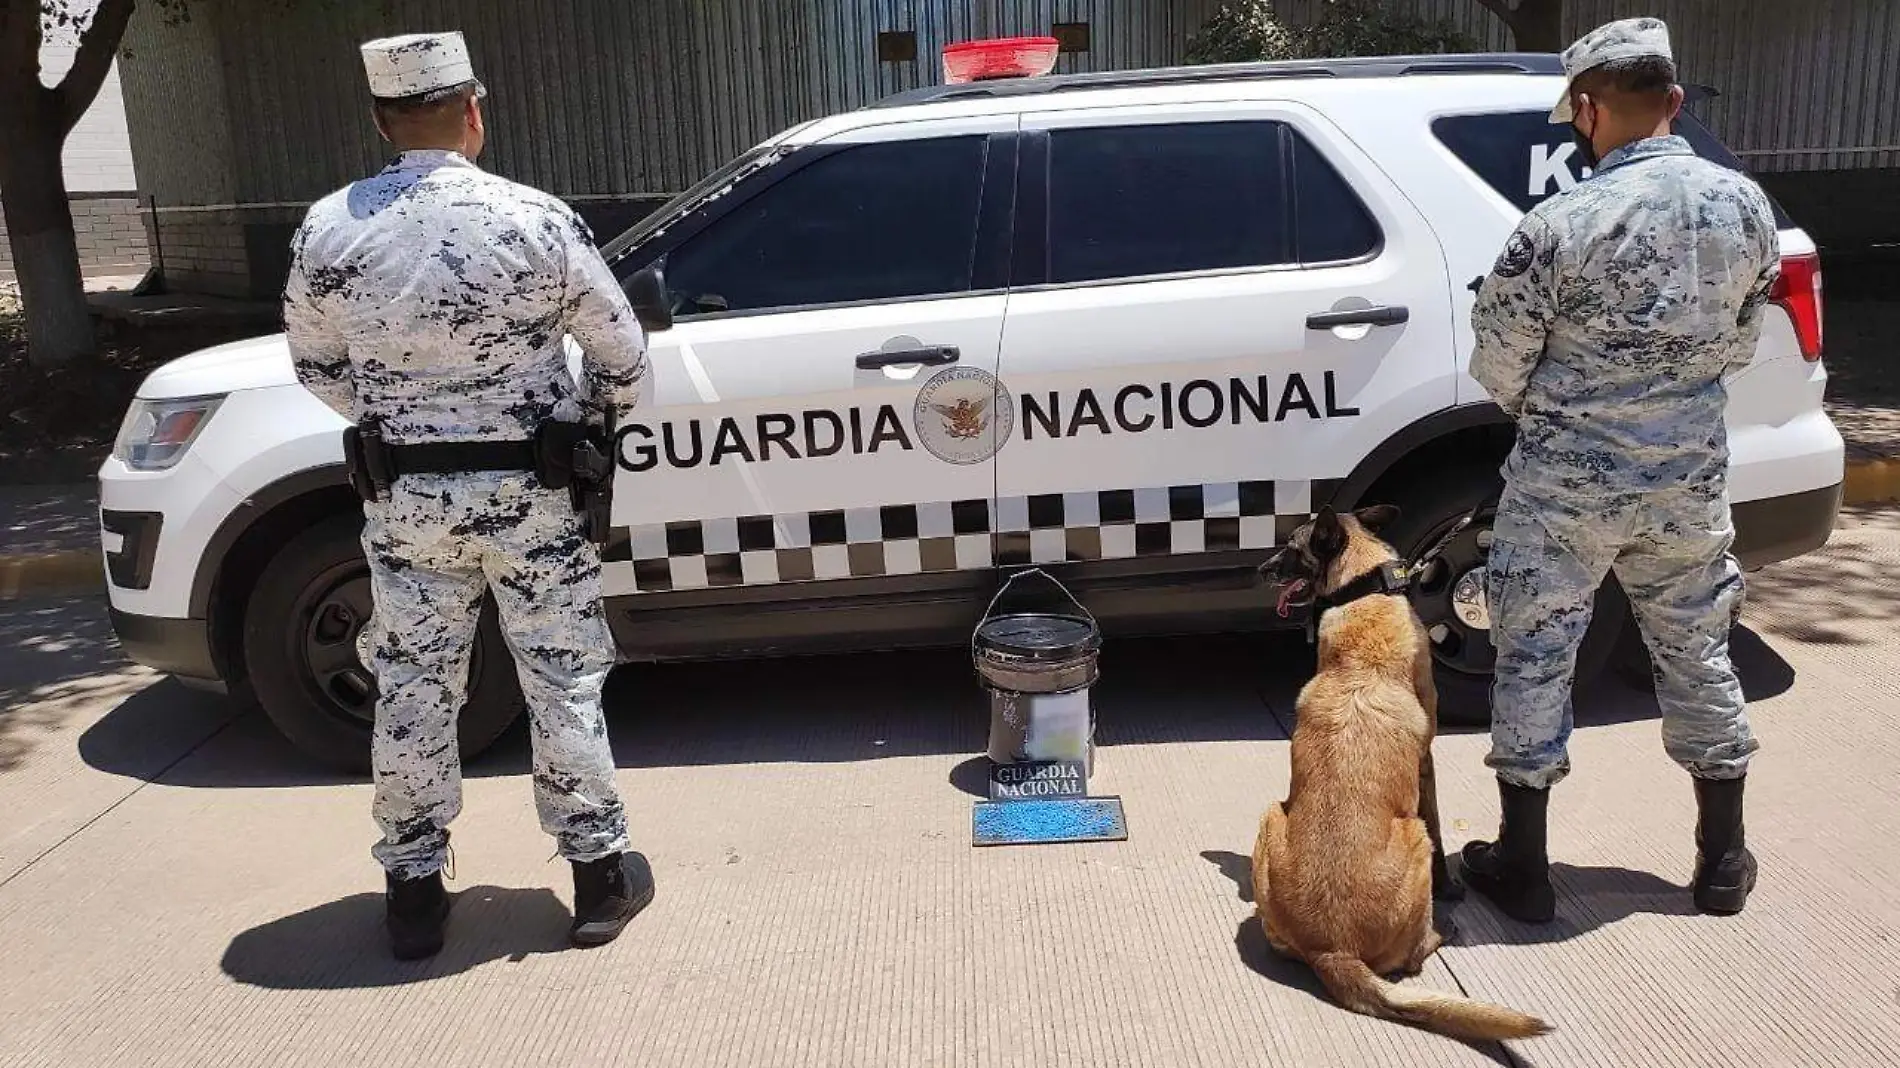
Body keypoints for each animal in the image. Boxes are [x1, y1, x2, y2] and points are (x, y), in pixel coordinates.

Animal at [1254, 505, 1550, 1041]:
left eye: (1291, 547)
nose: (1260, 569)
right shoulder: (1428, 763)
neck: (1365, 596)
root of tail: (1333, 950)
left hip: (1270, 815)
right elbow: (1438, 820)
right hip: (1414, 836)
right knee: (1413, 957)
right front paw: (1450, 888)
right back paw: (1442, 930)